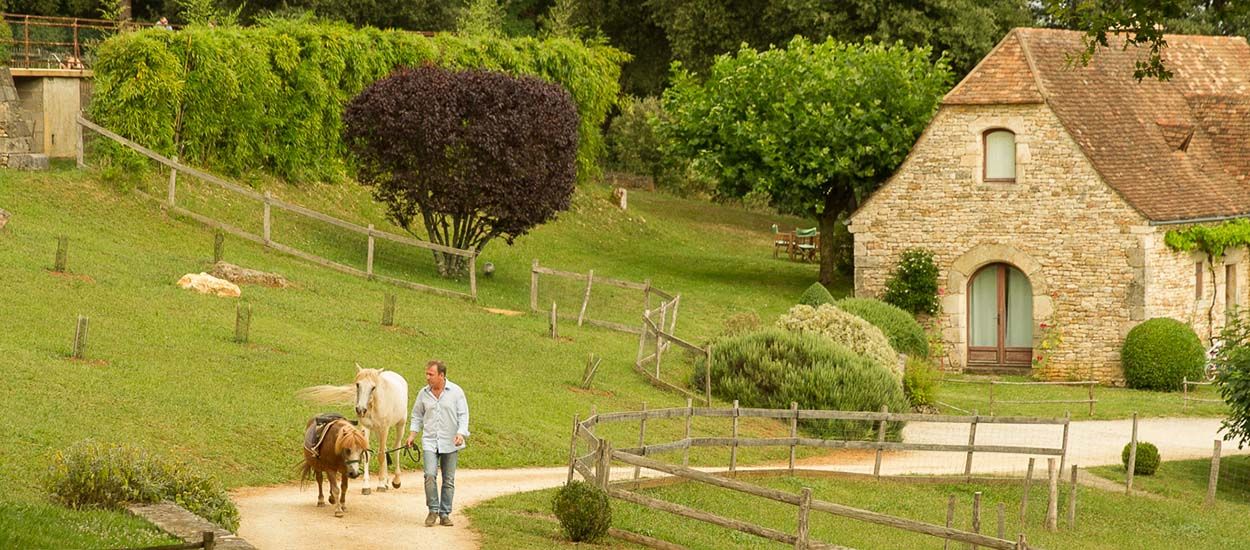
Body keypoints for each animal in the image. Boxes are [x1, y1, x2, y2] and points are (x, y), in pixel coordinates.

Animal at [297, 365, 410, 495]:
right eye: (357, 385)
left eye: (373, 387)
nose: (360, 409)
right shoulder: (366, 428)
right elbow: (367, 454)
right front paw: (367, 486)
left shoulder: (384, 428)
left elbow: (381, 455)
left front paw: (381, 484)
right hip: (378, 431)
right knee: (386, 450)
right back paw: (386, 482)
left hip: (400, 425)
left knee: (396, 449)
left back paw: (396, 480)